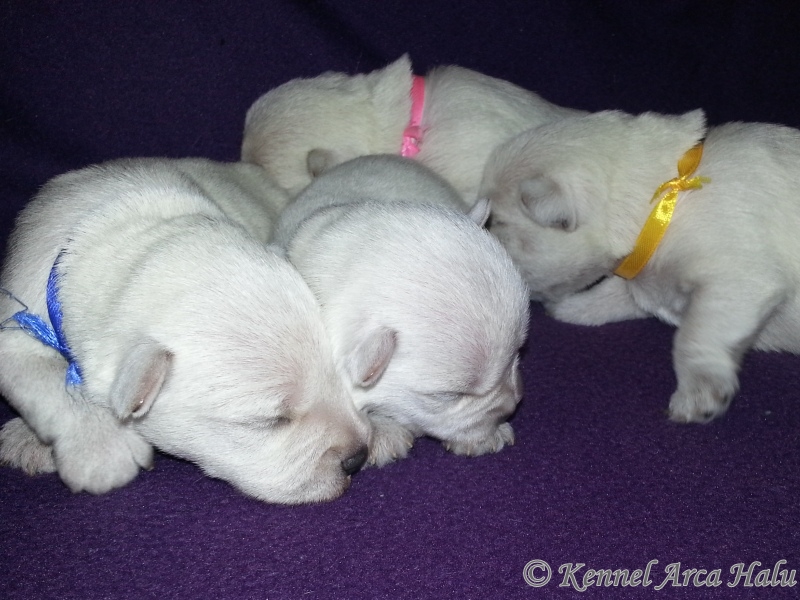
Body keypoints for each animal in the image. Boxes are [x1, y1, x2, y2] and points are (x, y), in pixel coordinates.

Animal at [479, 108, 800, 423]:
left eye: (497, 223)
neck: (661, 203)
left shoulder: (736, 277)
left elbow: (695, 334)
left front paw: (698, 394)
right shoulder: (647, 280)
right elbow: (611, 296)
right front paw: (570, 307)